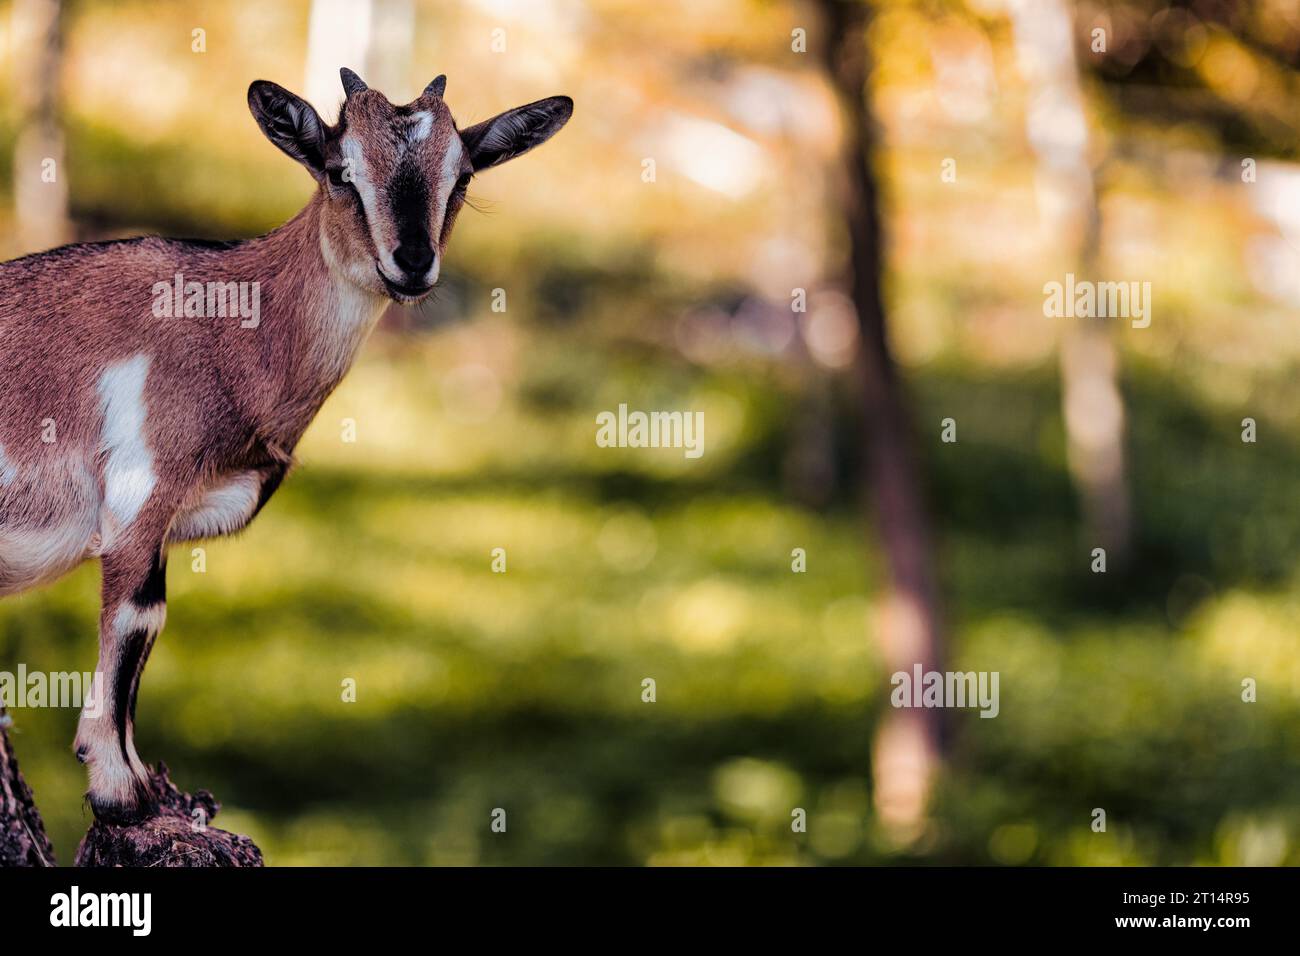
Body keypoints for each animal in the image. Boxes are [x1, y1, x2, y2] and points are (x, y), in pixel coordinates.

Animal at [0, 67, 574, 816]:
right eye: (339, 171)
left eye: (464, 174)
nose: (412, 261)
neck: (233, 325)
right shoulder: (139, 494)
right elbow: (137, 621)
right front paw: (121, 790)